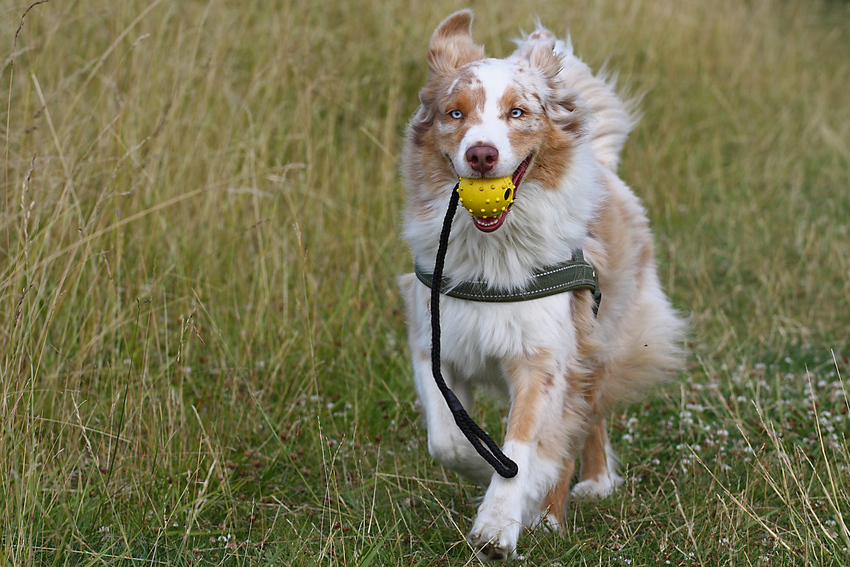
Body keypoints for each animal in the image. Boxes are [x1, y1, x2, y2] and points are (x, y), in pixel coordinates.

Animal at [396, 11, 684, 560]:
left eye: (518, 111)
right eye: (455, 113)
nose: (481, 155)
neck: (495, 252)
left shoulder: (545, 356)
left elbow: (527, 443)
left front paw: (498, 524)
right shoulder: (435, 341)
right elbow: (447, 439)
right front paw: (479, 464)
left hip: (601, 339)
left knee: (582, 420)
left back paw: (570, 501)